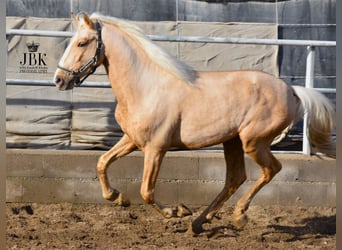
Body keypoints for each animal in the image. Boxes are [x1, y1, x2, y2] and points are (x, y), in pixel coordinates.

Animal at [54, 12, 336, 234]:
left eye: (81, 42)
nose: (59, 80)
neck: (145, 87)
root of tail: (292, 91)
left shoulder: (156, 148)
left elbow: (146, 191)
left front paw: (176, 212)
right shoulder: (131, 140)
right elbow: (102, 162)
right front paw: (118, 198)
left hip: (253, 142)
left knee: (270, 170)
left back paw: (238, 215)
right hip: (232, 142)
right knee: (235, 178)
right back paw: (200, 222)